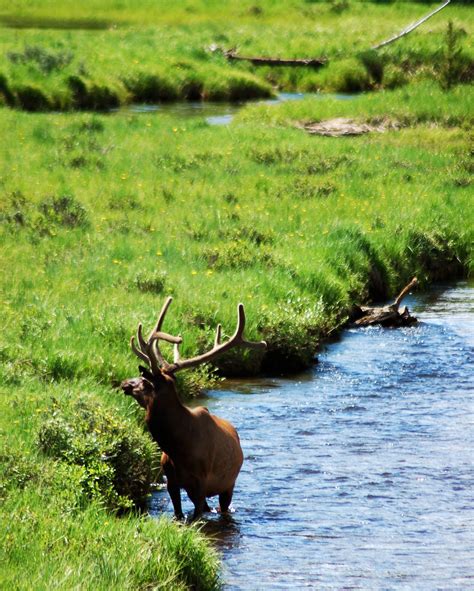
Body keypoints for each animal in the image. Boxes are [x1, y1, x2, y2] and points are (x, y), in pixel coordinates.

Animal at [120, 298, 266, 520]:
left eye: (145, 381)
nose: (125, 383)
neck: (178, 447)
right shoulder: (171, 482)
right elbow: (179, 515)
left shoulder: (201, 482)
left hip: (229, 484)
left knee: (223, 508)